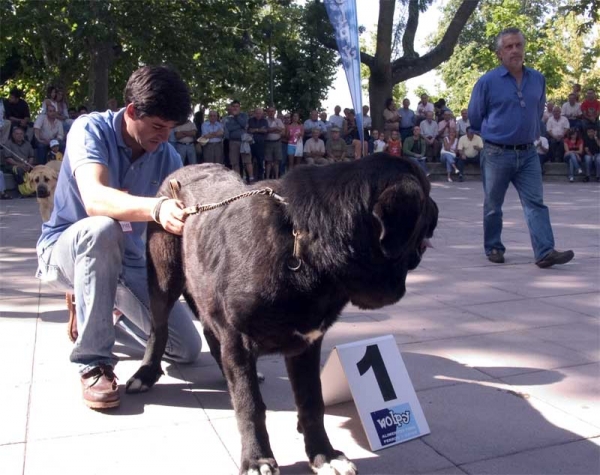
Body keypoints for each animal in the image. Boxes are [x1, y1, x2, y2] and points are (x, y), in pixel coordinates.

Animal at [126, 154, 436, 474]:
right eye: (426, 193)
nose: (437, 209)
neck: (304, 244)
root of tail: (182, 169)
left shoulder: (306, 344)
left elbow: (312, 403)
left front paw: (324, 455)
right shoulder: (238, 341)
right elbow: (250, 407)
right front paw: (257, 459)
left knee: (211, 335)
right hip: (163, 280)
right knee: (159, 328)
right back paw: (145, 374)